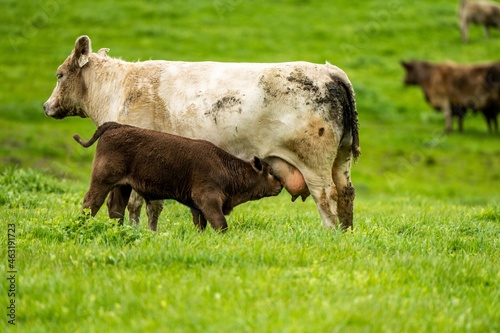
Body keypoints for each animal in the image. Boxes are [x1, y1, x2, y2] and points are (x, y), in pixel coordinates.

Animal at [75, 121, 284, 231]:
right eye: (270, 172)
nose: (281, 185)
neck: (225, 167)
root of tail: (116, 125)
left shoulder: (197, 206)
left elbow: (200, 224)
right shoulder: (207, 198)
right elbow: (220, 223)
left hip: (122, 186)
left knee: (116, 208)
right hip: (102, 181)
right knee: (91, 203)